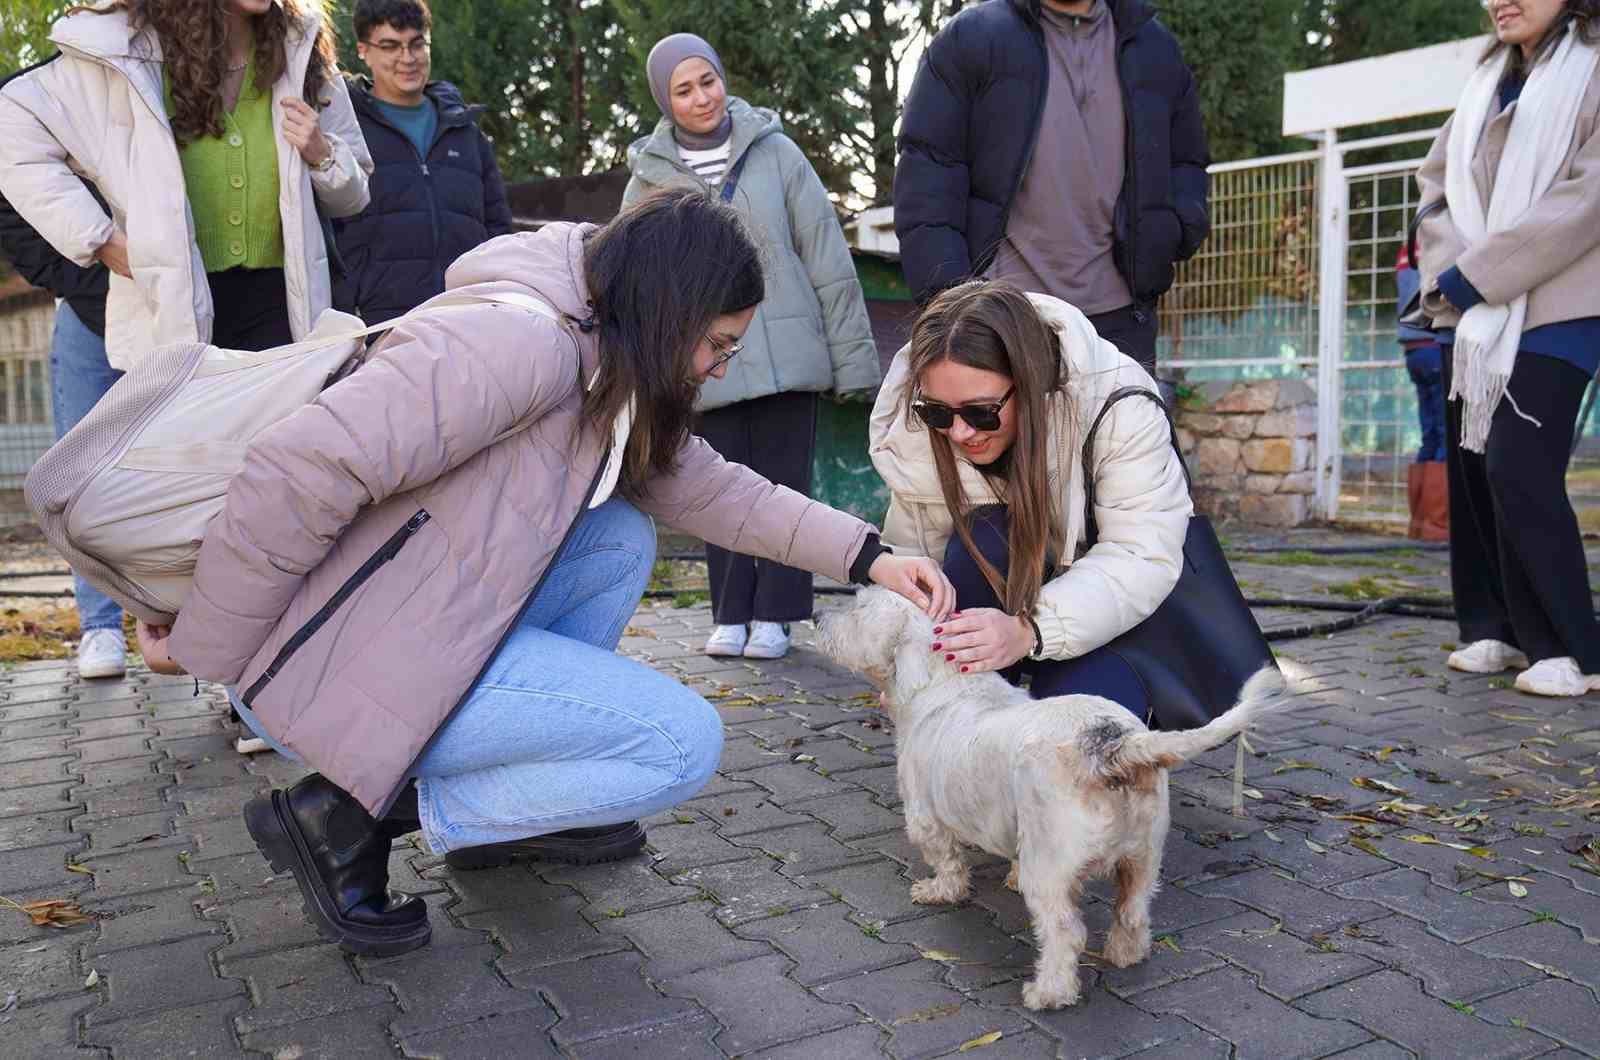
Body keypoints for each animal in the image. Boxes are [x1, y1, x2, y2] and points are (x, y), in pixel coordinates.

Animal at [819, 589, 1280, 1011]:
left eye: (858, 606)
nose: (818, 616)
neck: (944, 681)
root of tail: (1114, 745)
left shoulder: (926, 818)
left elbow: (948, 863)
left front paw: (938, 891)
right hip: (1145, 856)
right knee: (1133, 911)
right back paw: (1125, 954)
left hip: (1050, 870)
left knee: (1065, 933)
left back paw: (1048, 992)